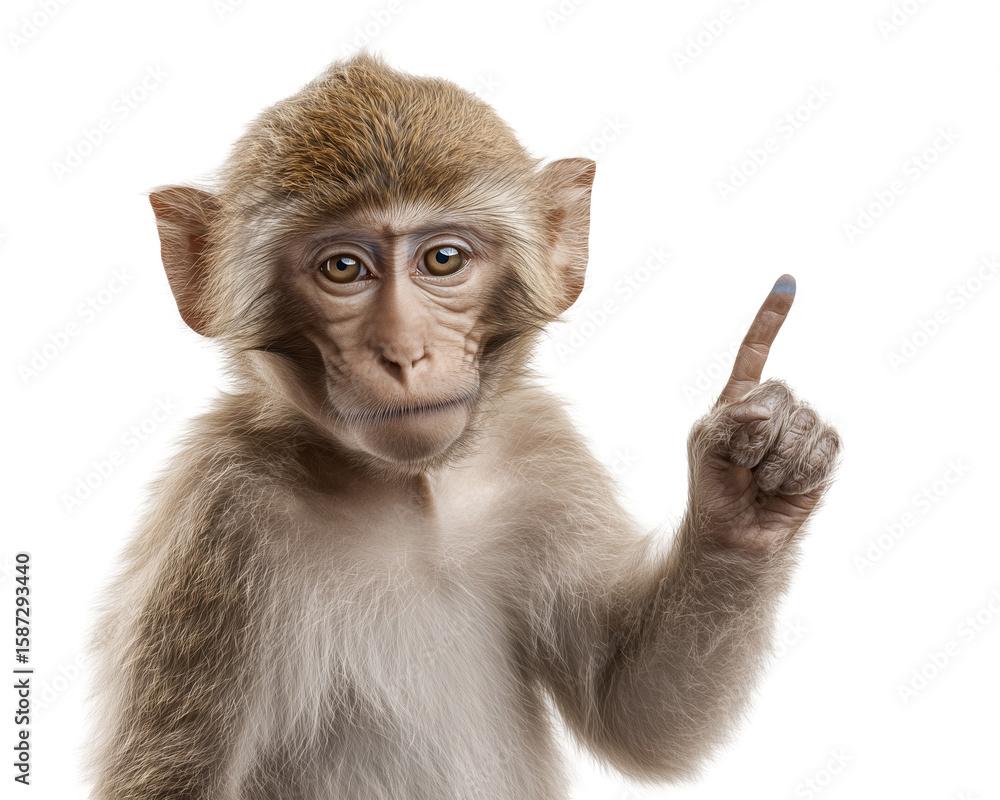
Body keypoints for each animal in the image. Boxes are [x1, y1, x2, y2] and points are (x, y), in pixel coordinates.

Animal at [85, 53, 840, 800]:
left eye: (442, 259)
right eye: (343, 267)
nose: (404, 350)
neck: (409, 490)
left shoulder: (540, 450)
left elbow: (630, 707)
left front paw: (745, 488)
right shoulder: (221, 514)